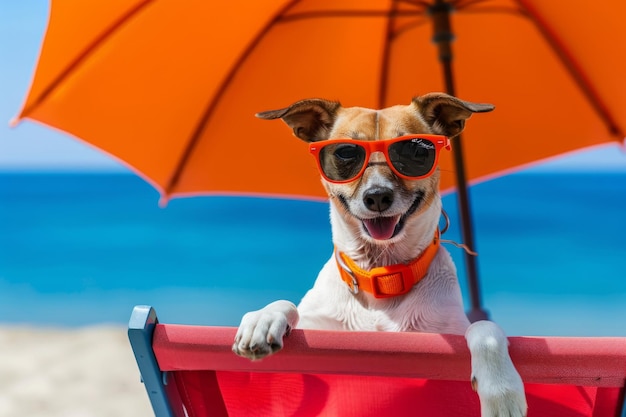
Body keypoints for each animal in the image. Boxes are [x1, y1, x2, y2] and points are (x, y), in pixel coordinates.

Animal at [232, 92, 524, 414]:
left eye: (414, 151)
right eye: (345, 154)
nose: (377, 196)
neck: (382, 275)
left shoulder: (447, 332)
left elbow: (484, 328)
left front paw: (501, 391)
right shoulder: (321, 330)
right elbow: (289, 305)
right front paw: (263, 319)